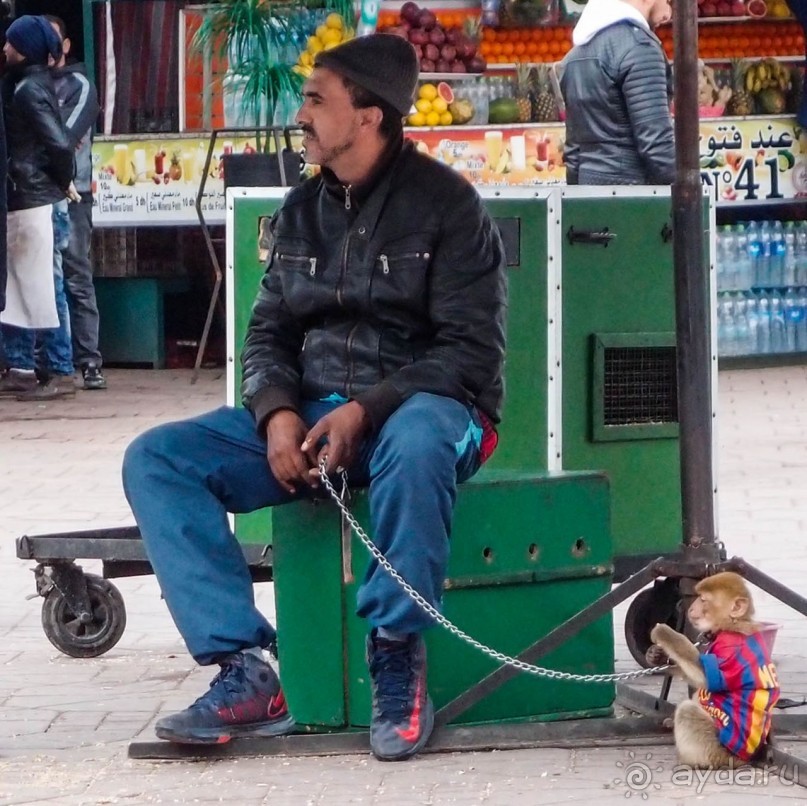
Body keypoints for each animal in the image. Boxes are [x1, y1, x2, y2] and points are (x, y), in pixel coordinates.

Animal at [652, 576, 776, 772]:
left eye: (703, 599)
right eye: (699, 597)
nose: (691, 608)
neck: (732, 625)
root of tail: (744, 759)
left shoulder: (730, 649)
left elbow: (704, 676)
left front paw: (663, 632)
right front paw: (656, 656)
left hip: (715, 748)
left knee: (687, 711)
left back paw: (691, 761)